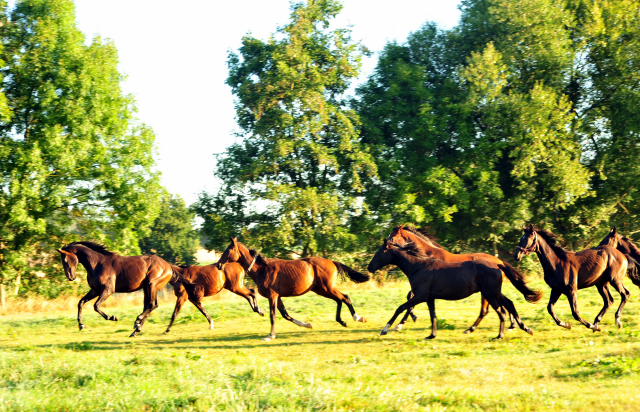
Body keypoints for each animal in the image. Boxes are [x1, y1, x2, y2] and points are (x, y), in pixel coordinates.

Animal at [216, 238, 370, 342]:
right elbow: (286, 315)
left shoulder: (272, 296)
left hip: (327, 288)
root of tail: (331, 262)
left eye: (228, 250)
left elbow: (273, 315)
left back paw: (358, 318)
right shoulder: (278, 297)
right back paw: (342, 321)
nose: (218, 265)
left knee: (345, 297)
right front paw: (307, 324)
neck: (262, 270)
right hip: (322, 290)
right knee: (339, 300)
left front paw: (270, 335)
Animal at [364, 240, 536, 340]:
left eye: (379, 252)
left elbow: (400, 307)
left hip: (490, 294)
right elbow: (433, 315)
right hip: (493, 293)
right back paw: (524, 328)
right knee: (507, 305)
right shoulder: (429, 298)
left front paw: (385, 329)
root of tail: (498, 264)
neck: (418, 267)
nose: (369, 267)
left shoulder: (420, 296)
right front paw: (431, 335)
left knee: (501, 312)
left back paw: (499, 335)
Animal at [390, 225, 536, 332]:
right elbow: (410, 297)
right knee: (507, 302)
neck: (426, 256)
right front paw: (406, 320)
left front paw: (401, 323)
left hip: (488, 291)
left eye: (392, 238)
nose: (388, 244)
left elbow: (410, 297)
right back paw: (513, 325)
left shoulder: (424, 287)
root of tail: (499, 262)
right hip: (491, 290)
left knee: (489, 309)